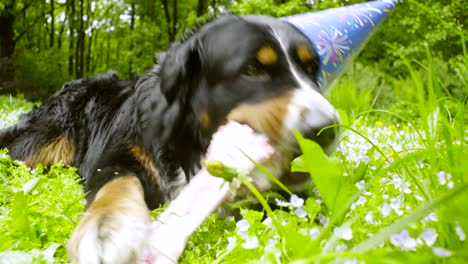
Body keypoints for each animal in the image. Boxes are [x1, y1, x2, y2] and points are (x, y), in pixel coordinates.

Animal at [0, 13, 338, 264]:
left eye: (311, 70)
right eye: (252, 69)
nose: (327, 129)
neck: (188, 148)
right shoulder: (112, 155)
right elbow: (118, 182)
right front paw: (108, 226)